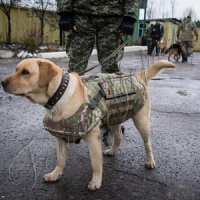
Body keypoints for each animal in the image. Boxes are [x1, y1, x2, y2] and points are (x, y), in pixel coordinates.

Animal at [1, 58, 177, 191]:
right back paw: (112, 151)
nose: (2, 82)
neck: (59, 95)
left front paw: (96, 182)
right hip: (113, 117)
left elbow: (96, 163)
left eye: (25, 72)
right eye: (16, 69)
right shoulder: (60, 137)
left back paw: (150, 161)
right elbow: (60, 160)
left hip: (142, 122)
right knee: (119, 136)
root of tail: (138, 75)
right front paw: (55, 174)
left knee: (147, 143)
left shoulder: (93, 136)